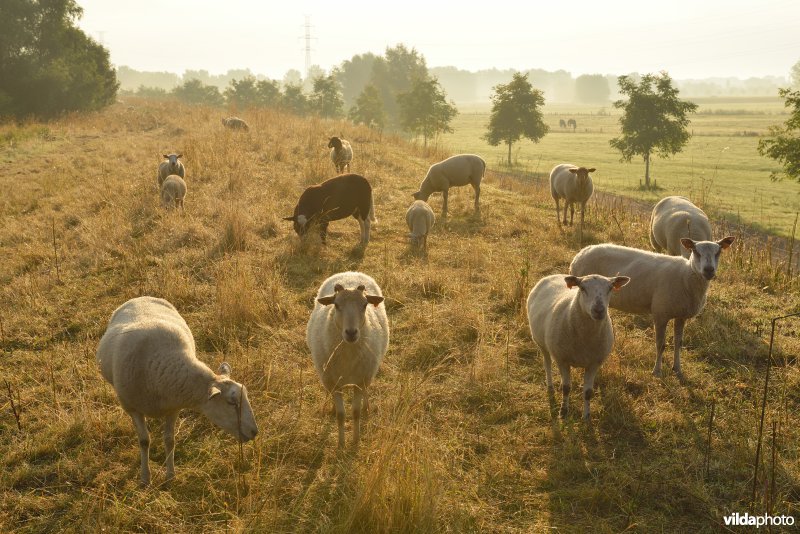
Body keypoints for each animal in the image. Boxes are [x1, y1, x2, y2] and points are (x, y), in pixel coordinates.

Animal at [95, 298, 260, 486]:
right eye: (232, 403)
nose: (255, 432)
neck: (158, 370)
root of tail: (141, 297)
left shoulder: (173, 408)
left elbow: (169, 440)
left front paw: (170, 476)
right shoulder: (133, 408)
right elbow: (144, 441)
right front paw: (145, 477)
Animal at [304, 272, 390, 448]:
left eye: (365, 304)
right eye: (336, 305)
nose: (351, 332)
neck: (348, 358)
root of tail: (350, 272)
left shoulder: (360, 381)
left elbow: (355, 413)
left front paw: (355, 441)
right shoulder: (334, 383)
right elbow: (341, 415)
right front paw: (341, 444)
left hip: (367, 374)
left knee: (366, 393)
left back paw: (367, 407)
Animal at [524, 274, 632, 420]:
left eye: (610, 288)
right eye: (582, 288)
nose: (599, 310)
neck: (585, 339)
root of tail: (554, 274)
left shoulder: (594, 363)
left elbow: (588, 392)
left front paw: (586, 416)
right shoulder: (562, 359)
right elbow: (566, 388)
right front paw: (563, 412)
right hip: (541, 344)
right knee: (547, 364)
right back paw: (550, 386)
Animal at [572, 237, 736, 378]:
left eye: (718, 252)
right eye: (695, 251)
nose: (709, 270)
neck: (686, 276)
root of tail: (582, 252)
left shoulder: (681, 315)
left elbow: (678, 343)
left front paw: (677, 369)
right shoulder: (660, 313)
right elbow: (660, 344)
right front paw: (657, 371)